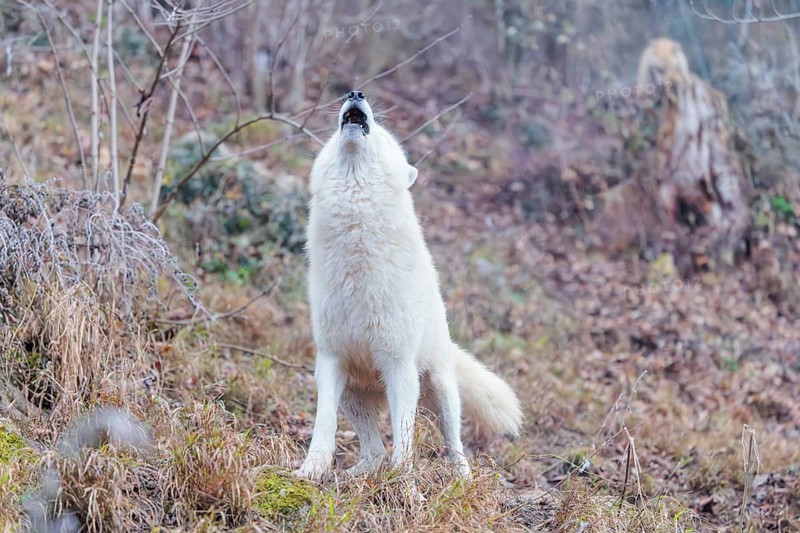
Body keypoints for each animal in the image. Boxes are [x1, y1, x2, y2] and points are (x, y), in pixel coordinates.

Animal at [294, 90, 523, 481]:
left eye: (385, 138)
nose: (356, 93)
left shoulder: (399, 365)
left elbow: (404, 441)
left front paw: (403, 484)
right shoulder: (330, 361)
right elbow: (323, 425)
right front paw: (310, 471)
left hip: (441, 391)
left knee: (453, 444)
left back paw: (462, 480)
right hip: (352, 396)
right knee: (374, 451)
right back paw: (352, 476)